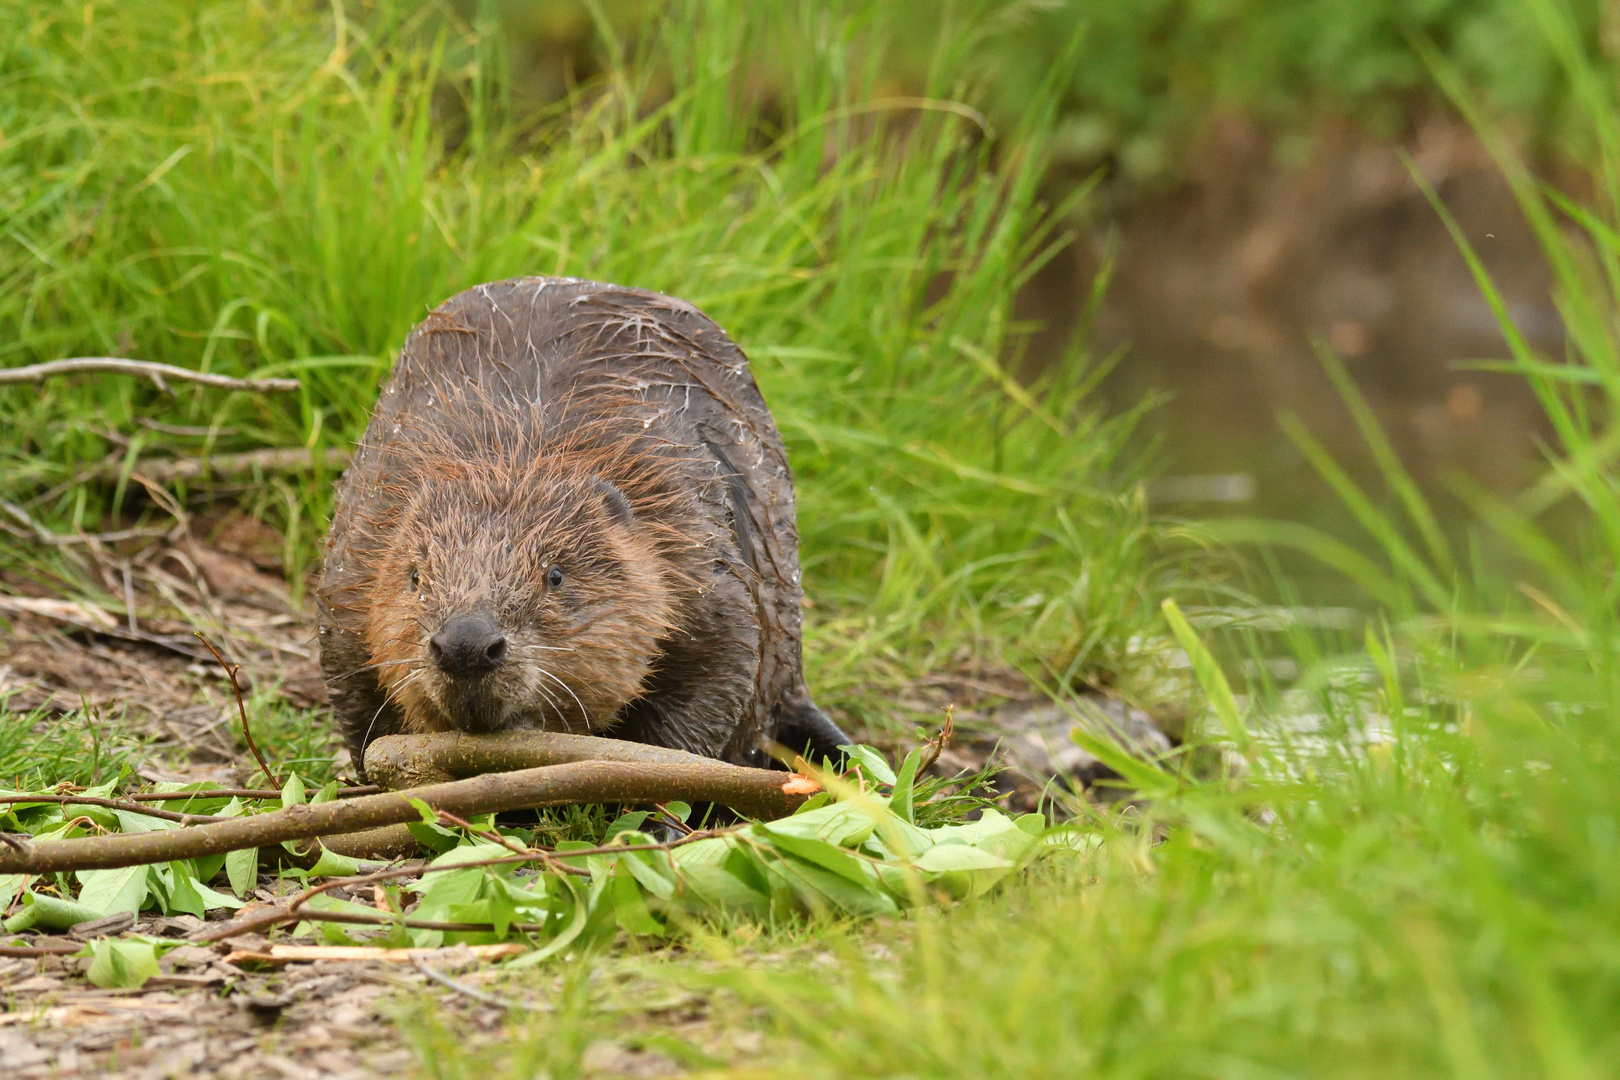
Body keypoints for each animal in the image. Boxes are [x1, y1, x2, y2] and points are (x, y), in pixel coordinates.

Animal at [312, 275, 848, 773]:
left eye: (555, 575)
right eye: (415, 577)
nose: (466, 646)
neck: (517, 444)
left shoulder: (695, 554)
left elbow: (718, 673)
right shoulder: (357, 564)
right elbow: (358, 701)